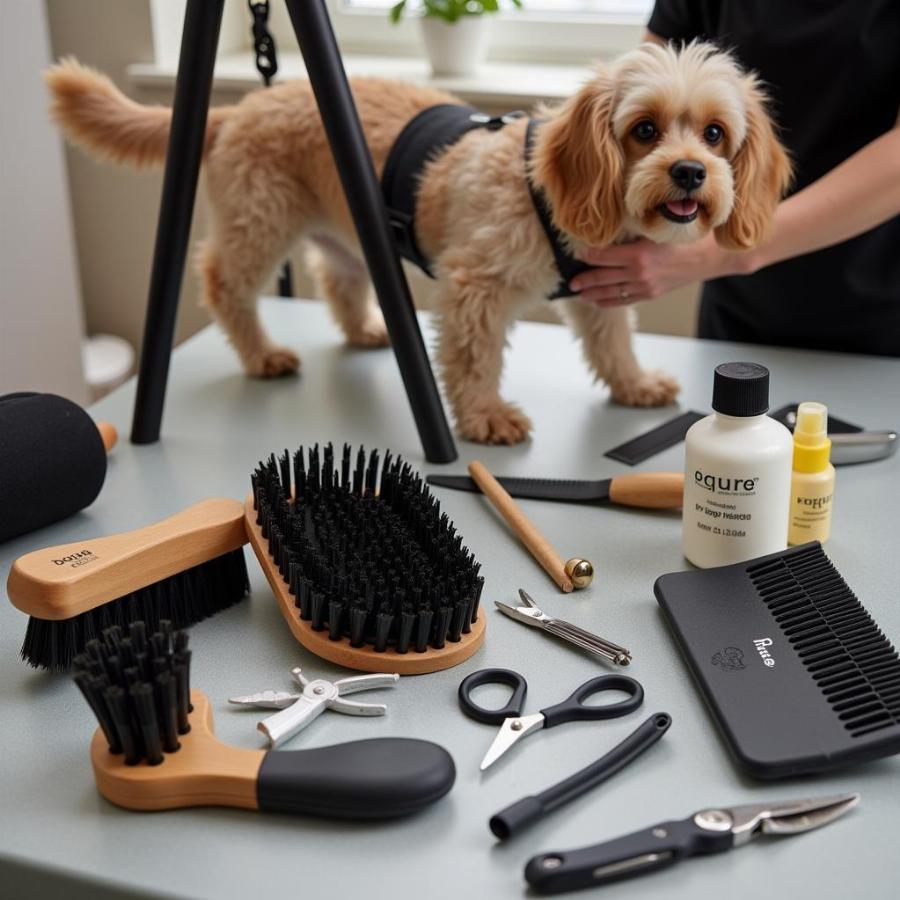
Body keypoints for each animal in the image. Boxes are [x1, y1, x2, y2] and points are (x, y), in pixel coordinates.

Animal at [45, 42, 792, 446]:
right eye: (644, 130)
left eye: (715, 134)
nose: (690, 171)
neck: (546, 187)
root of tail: (241, 106)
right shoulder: (474, 288)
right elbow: (474, 359)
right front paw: (486, 417)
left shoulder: (596, 290)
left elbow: (612, 343)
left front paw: (634, 384)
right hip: (260, 223)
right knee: (222, 281)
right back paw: (262, 355)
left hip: (344, 233)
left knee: (336, 277)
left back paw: (363, 330)